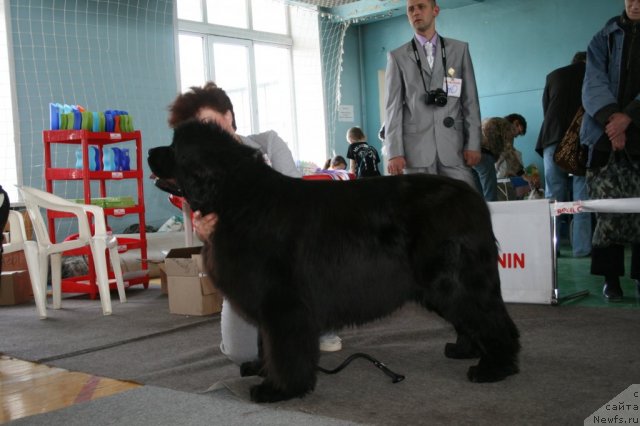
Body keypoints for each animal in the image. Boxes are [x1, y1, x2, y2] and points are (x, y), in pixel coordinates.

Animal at [149, 120, 520, 402]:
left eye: (175, 148)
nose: (151, 152)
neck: (236, 196)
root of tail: (473, 199)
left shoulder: (282, 302)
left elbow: (284, 348)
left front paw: (278, 389)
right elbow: (266, 343)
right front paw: (260, 369)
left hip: (452, 279)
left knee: (490, 319)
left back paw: (494, 368)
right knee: (472, 318)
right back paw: (465, 350)